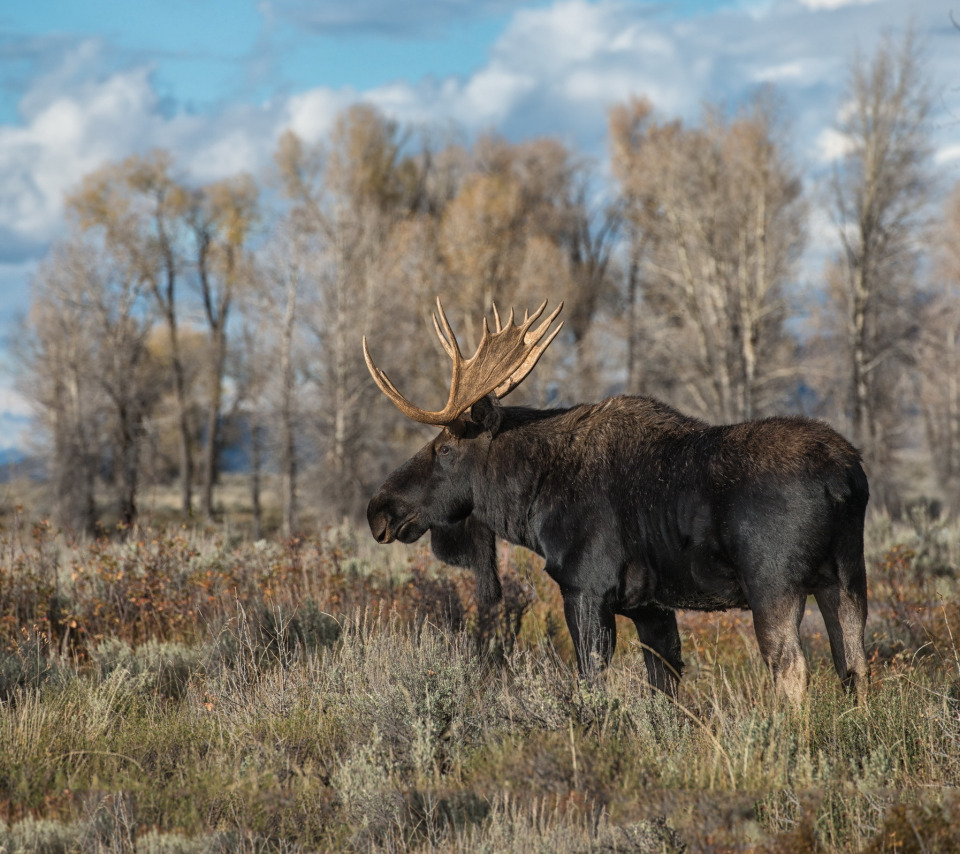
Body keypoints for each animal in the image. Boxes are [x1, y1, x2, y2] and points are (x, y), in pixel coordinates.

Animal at [362, 300, 872, 704]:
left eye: (445, 447)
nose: (378, 510)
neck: (530, 503)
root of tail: (847, 479)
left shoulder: (585, 588)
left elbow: (591, 683)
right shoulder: (652, 607)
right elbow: (665, 690)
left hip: (775, 583)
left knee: (792, 668)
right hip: (846, 577)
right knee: (855, 667)